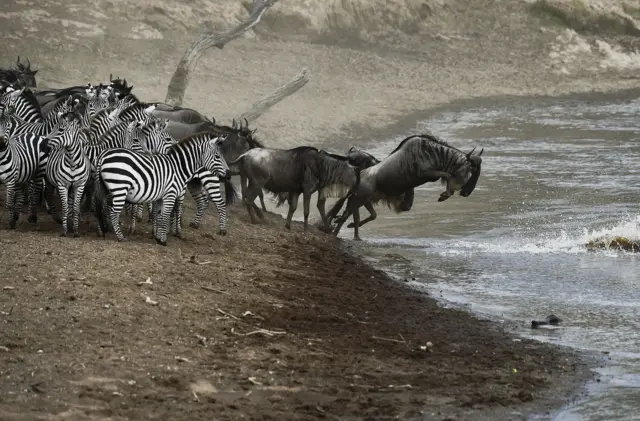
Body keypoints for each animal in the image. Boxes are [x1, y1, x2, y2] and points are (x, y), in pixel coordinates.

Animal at [95, 131, 230, 243]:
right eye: (217, 157)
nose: (229, 175)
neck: (178, 168)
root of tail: (103, 155)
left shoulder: (161, 196)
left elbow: (160, 216)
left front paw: (158, 237)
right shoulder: (170, 194)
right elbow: (165, 215)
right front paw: (163, 240)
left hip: (107, 188)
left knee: (102, 207)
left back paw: (102, 230)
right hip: (119, 188)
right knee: (113, 212)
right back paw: (120, 237)